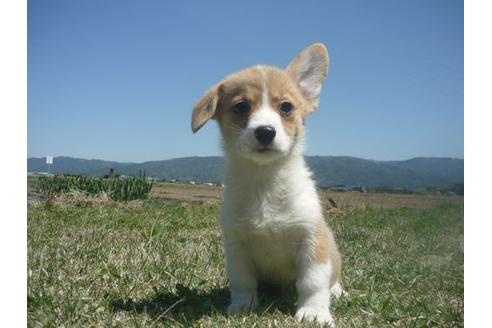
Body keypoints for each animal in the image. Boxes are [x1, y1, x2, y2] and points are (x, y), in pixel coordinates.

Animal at [191, 43, 342, 326]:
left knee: (333, 276)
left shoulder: (312, 240)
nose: (265, 132)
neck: (265, 182)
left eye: (286, 107)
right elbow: (243, 283)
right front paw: (242, 306)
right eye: (240, 107)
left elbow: (312, 282)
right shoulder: (237, 247)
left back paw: (337, 290)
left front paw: (314, 312)